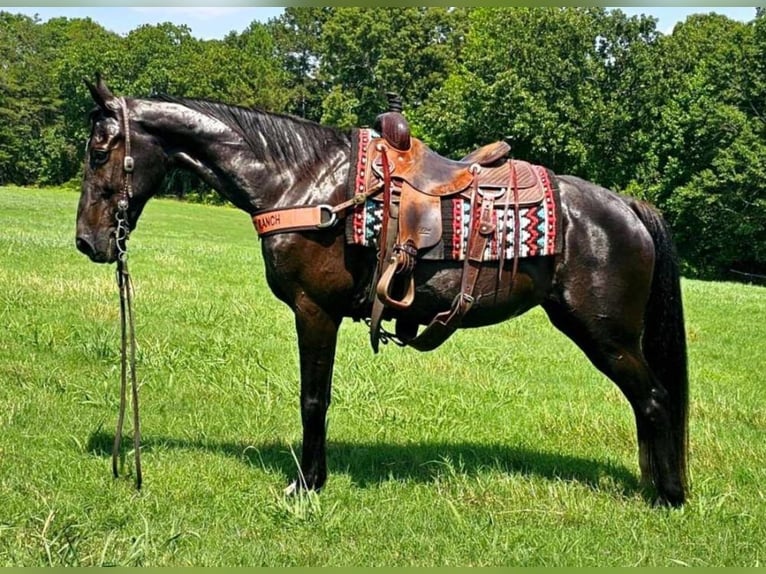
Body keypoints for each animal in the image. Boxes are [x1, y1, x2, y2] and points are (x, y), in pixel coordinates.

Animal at [76, 76, 688, 508]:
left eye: (99, 150)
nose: (86, 240)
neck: (304, 184)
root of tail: (626, 205)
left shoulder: (314, 311)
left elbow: (313, 398)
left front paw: (307, 484)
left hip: (605, 334)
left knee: (655, 400)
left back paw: (668, 497)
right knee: (646, 403)